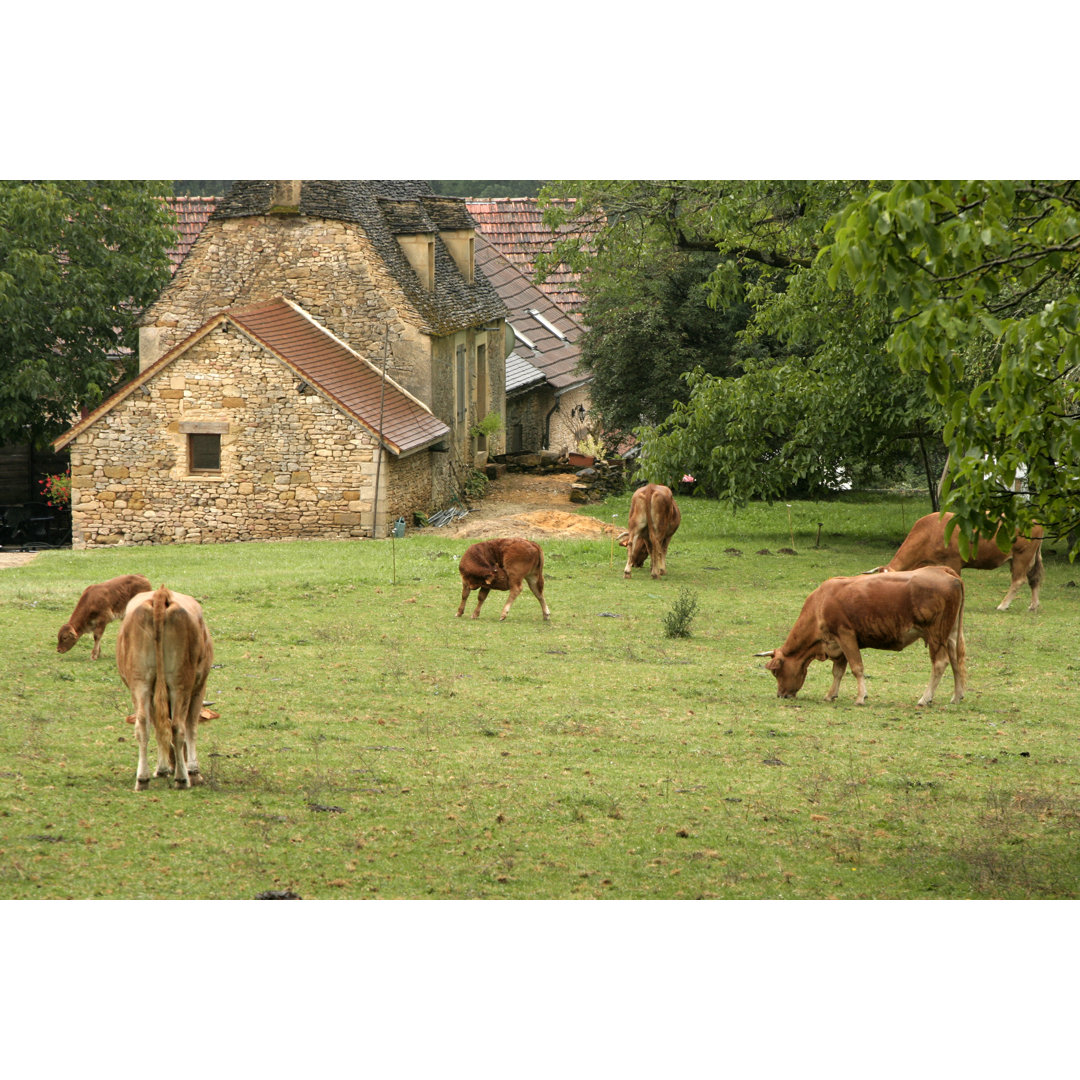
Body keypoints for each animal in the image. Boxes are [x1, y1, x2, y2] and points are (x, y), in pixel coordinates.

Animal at [116, 585, 213, 791]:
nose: (174, 763)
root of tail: (161, 594)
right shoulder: (198, 689)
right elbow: (191, 728)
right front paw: (194, 772)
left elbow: (159, 729)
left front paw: (161, 769)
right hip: (180, 685)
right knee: (178, 727)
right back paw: (182, 778)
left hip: (141, 683)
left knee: (143, 726)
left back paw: (142, 779)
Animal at [755, 566, 966, 707]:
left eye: (776, 672)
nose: (781, 695)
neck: (820, 604)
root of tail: (943, 571)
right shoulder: (837, 644)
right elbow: (838, 671)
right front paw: (831, 694)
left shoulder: (846, 636)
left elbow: (856, 667)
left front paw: (860, 697)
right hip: (951, 635)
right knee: (956, 661)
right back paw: (956, 696)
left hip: (936, 635)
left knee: (940, 663)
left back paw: (925, 698)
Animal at [866, 511, 1043, 612]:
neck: (930, 531)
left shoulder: (953, 562)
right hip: (1030, 556)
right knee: (1034, 578)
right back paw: (1034, 605)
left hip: (1022, 555)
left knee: (1018, 580)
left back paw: (1003, 605)